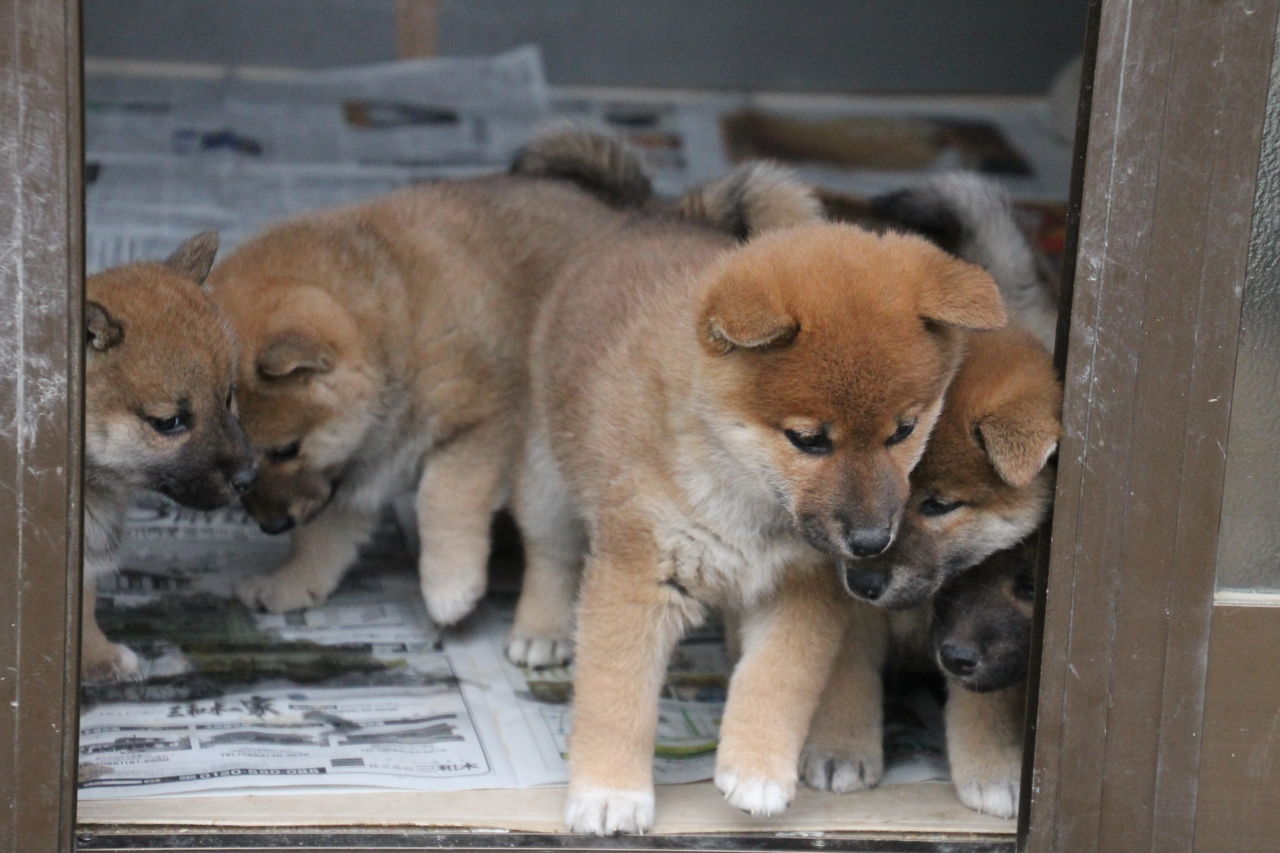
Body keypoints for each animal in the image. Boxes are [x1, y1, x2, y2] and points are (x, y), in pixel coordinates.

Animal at [205, 128, 655, 658]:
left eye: (285, 450)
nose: (272, 526)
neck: (399, 330)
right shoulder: (354, 473)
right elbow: (321, 542)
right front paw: (290, 585)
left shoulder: (484, 426)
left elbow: (441, 498)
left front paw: (449, 587)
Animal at [511, 159, 1005, 832]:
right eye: (808, 440)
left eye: (904, 431)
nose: (871, 542)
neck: (748, 498)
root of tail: (665, 216)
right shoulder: (638, 575)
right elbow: (617, 697)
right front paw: (610, 793)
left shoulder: (803, 587)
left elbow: (777, 678)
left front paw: (757, 768)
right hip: (546, 473)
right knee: (549, 549)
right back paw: (541, 630)